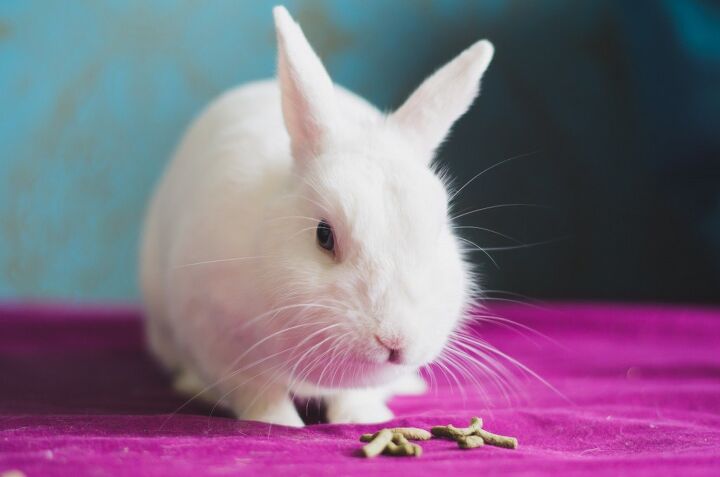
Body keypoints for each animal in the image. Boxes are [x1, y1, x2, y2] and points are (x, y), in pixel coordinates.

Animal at [140, 5, 494, 427]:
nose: (394, 340)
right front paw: (278, 422)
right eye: (324, 235)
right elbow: (258, 391)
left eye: (437, 230)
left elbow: (357, 392)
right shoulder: (214, 336)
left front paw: (363, 418)